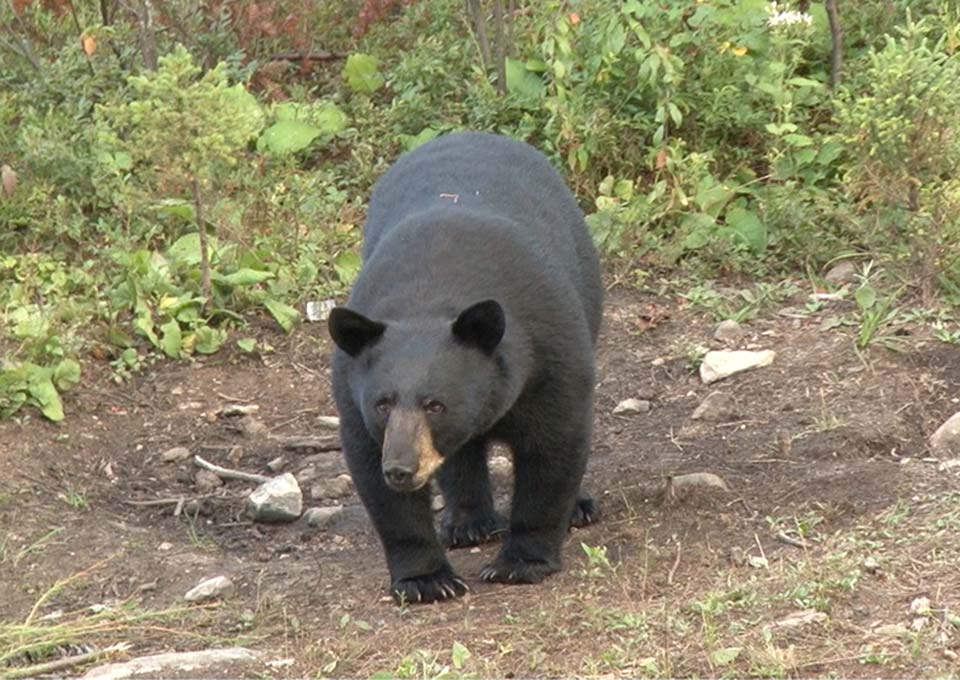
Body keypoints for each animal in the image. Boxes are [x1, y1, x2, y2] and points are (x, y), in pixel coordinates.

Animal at [328, 131, 602, 604]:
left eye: (435, 404)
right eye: (382, 403)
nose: (401, 469)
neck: (431, 295)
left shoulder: (549, 351)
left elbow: (555, 444)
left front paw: (520, 562)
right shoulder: (352, 394)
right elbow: (375, 478)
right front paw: (426, 579)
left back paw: (577, 507)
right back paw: (468, 522)